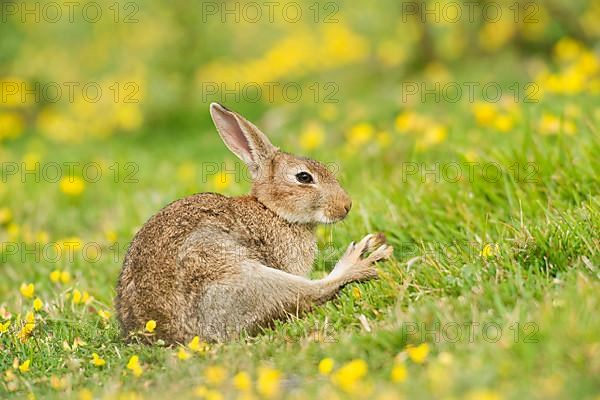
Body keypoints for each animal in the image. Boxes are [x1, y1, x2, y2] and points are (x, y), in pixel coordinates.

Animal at [115, 103, 396, 344]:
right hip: (244, 277)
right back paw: (361, 261)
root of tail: (174, 334)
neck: (272, 211)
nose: (346, 205)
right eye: (304, 177)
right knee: (311, 292)